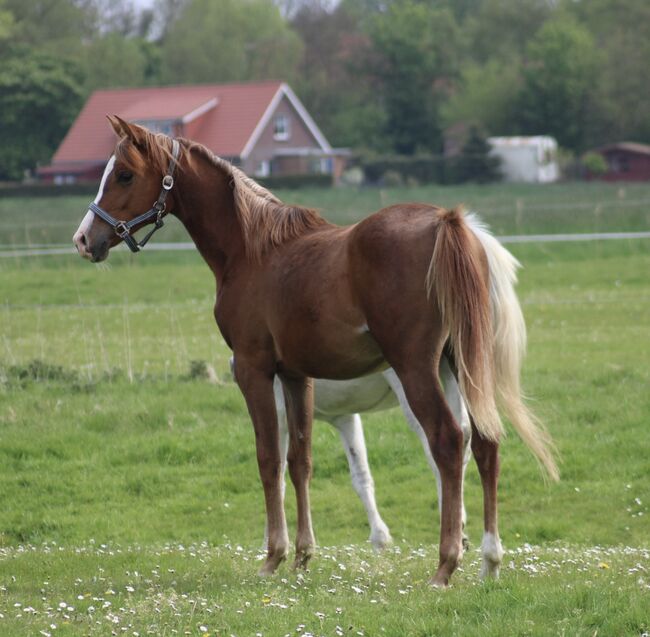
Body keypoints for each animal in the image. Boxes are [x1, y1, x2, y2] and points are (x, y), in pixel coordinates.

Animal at [73, 116, 558, 587]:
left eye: (123, 174)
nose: (83, 239)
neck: (253, 251)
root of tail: (447, 222)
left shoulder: (255, 371)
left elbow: (269, 459)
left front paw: (274, 556)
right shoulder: (296, 375)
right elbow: (300, 461)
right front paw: (303, 556)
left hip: (417, 369)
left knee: (448, 441)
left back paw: (446, 564)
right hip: (463, 366)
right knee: (486, 442)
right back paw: (490, 561)